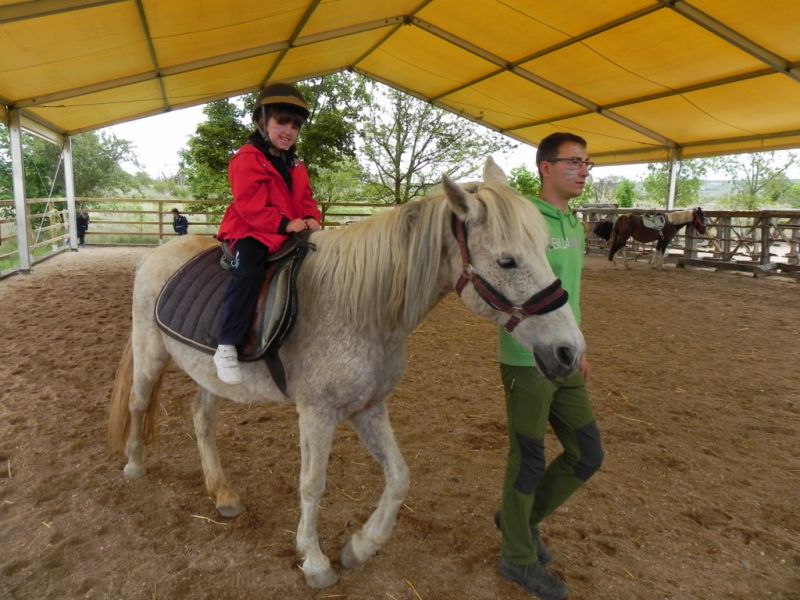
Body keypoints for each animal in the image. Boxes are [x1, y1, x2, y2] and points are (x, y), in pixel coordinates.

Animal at [108, 158, 585, 589]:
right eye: (506, 262)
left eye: (545, 249)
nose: (569, 352)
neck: (361, 308)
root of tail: (156, 254)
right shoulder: (318, 413)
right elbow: (312, 484)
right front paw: (315, 562)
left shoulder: (368, 407)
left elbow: (399, 477)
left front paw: (360, 546)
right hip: (150, 353)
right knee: (138, 402)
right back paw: (133, 464)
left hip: (210, 374)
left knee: (202, 419)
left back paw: (222, 494)